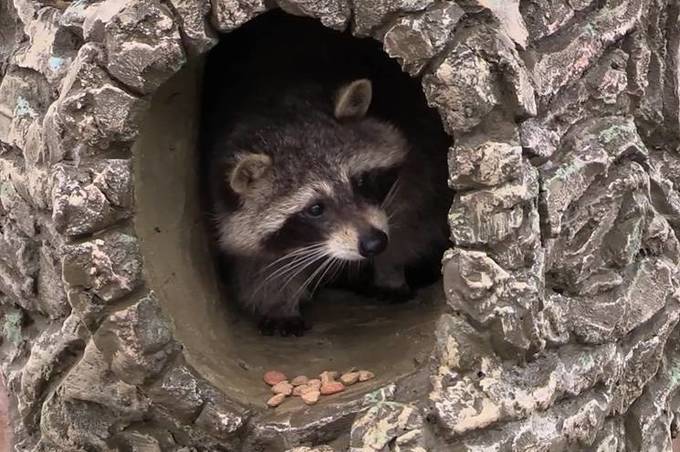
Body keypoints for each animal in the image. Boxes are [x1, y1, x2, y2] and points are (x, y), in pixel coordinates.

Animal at [207, 78, 452, 336]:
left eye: (360, 181)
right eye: (315, 209)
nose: (374, 243)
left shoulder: (412, 169)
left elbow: (410, 220)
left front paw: (391, 270)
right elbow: (260, 266)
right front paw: (278, 303)